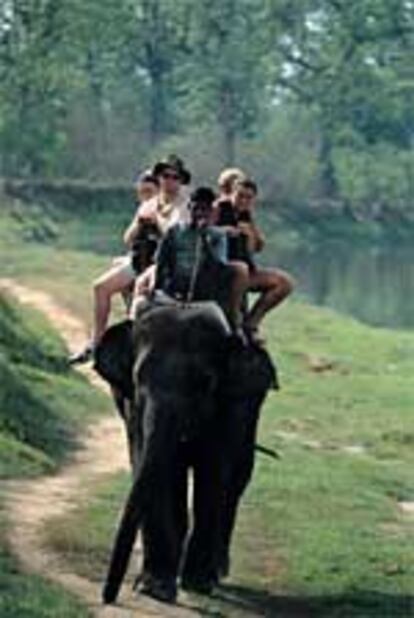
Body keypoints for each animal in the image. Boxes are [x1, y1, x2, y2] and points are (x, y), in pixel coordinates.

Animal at [92, 296, 276, 604]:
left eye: (206, 383)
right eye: (138, 379)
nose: (108, 598)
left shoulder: (232, 404)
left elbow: (214, 471)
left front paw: (198, 584)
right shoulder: (132, 406)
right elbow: (154, 463)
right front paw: (154, 587)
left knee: (237, 480)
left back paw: (217, 572)